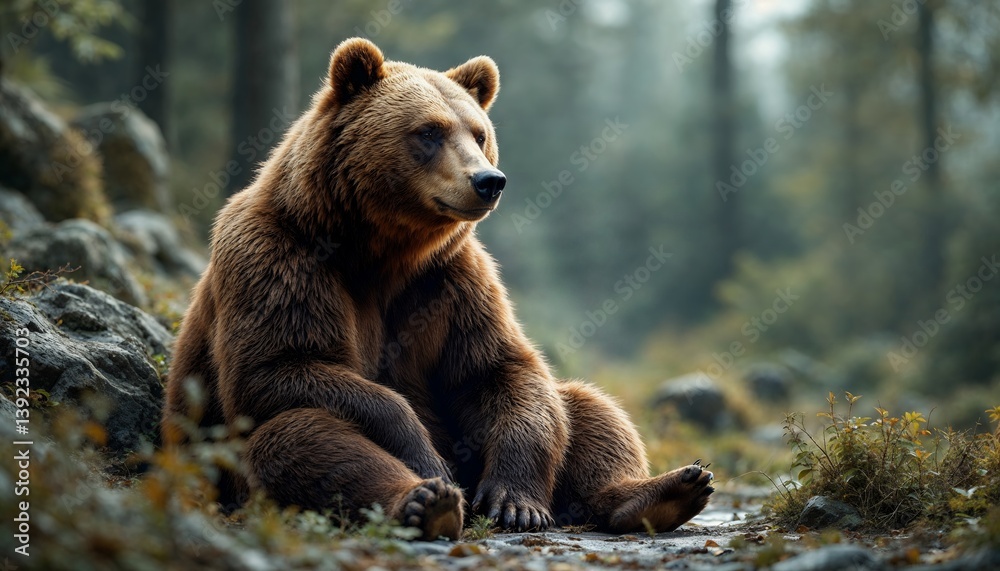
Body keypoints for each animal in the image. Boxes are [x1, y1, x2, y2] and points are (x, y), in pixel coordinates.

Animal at [163, 37, 714, 541]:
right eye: (429, 131)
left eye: (479, 133)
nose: (489, 180)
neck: (380, 252)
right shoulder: (278, 260)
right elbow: (277, 366)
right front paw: (423, 457)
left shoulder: (452, 280)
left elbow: (498, 369)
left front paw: (516, 501)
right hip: (224, 467)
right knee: (294, 436)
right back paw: (428, 500)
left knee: (587, 407)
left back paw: (665, 490)